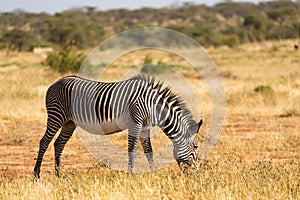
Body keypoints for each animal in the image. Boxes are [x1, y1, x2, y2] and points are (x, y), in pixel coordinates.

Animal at [33, 75, 204, 178]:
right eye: (195, 146)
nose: (196, 172)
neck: (152, 106)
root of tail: (54, 83)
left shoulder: (145, 126)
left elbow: (148, 150)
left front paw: (153, 171)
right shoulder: (135, 122)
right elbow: (132, 149)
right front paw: (131, 174)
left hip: (69, 122)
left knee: (59, 143)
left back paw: (59, 175)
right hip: (56, 116)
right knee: (44, 141)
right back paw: (37, 175)